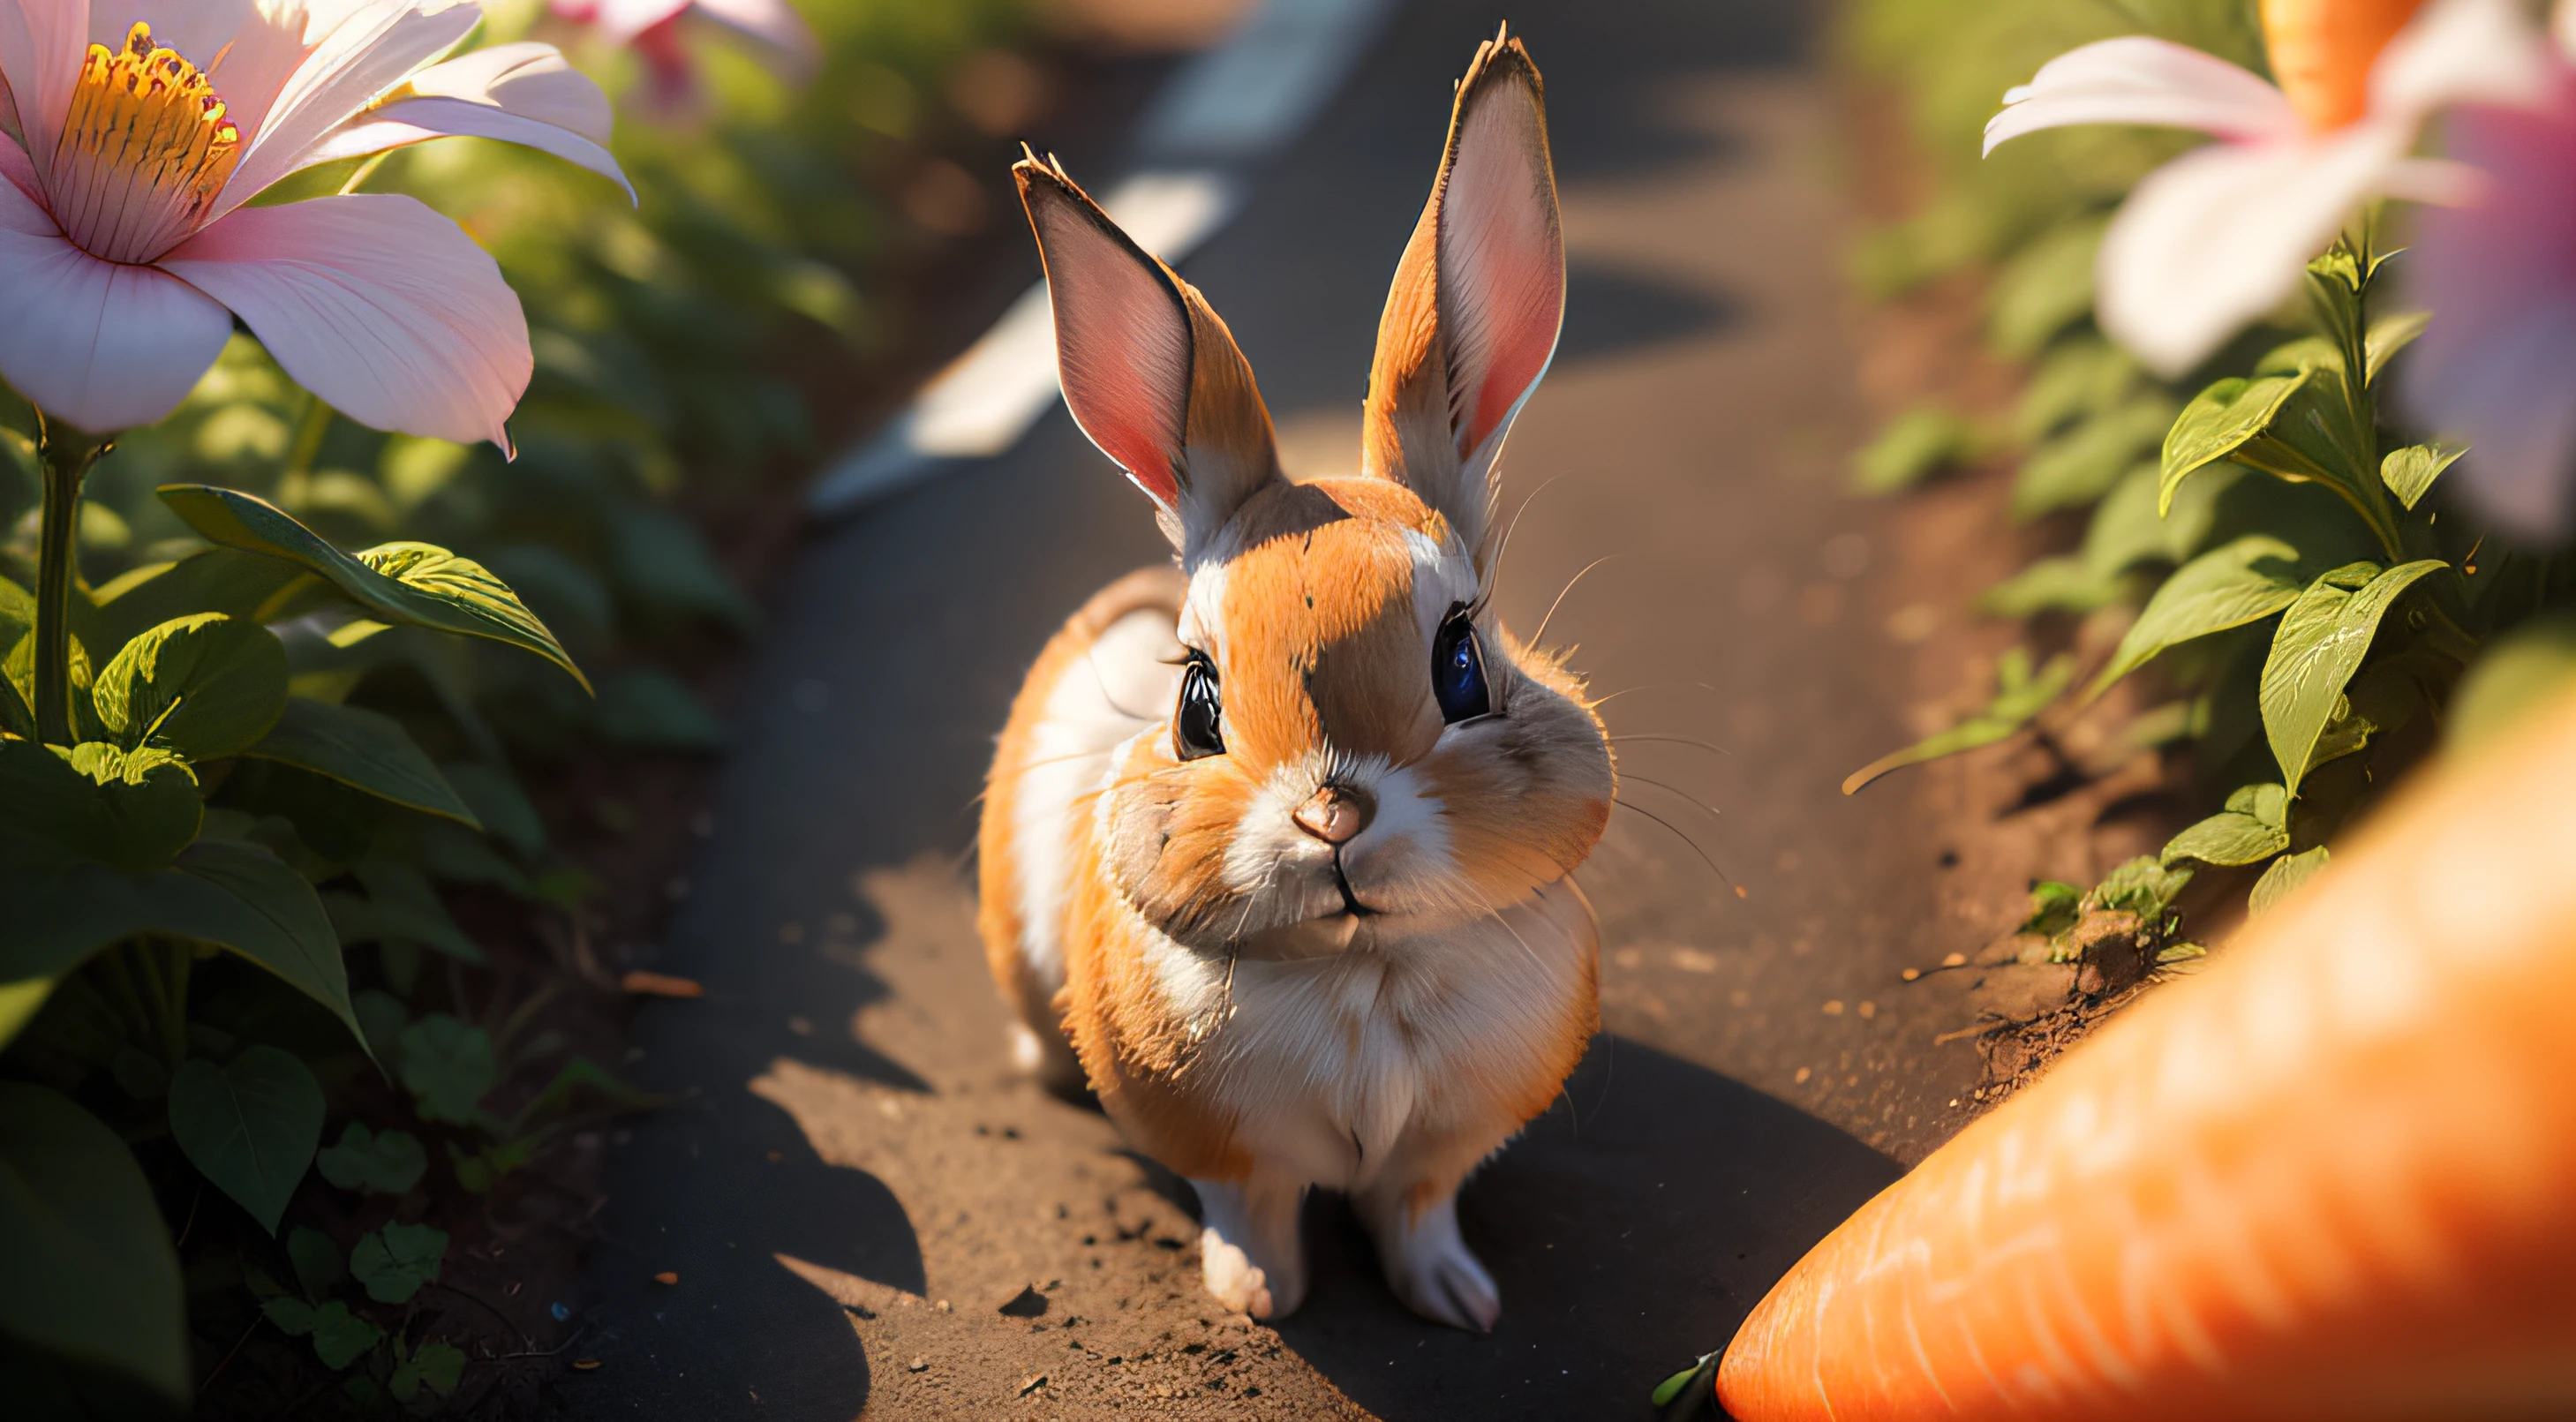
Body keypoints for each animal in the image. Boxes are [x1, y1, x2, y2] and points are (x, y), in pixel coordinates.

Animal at [983, 27, 1607, 1328]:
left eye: (1463, 661)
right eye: (1195, 703)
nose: (1332, 817)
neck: (1360, 968)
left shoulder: (1437, 1156)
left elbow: (1417, 1209)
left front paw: (1458, 1301)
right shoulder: (1226, 1152)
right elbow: (1252, 1208)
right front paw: (1257, 1298)